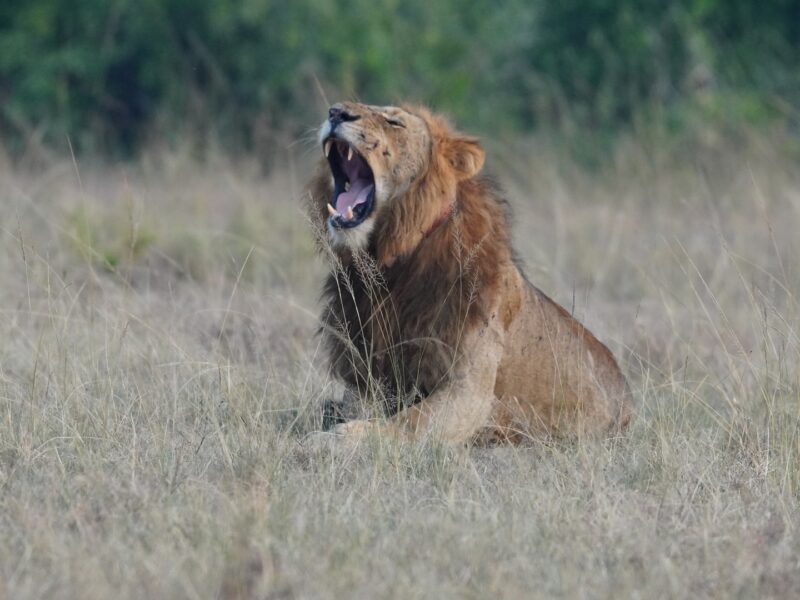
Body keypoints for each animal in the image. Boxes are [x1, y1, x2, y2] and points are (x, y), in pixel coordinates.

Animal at [305, 102, 632, 446]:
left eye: (394, 122)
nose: (336, 112)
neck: (389, 265)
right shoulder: (367, 373)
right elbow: (359, 407)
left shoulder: (469, 390)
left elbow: (409, 423)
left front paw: (337, 438)